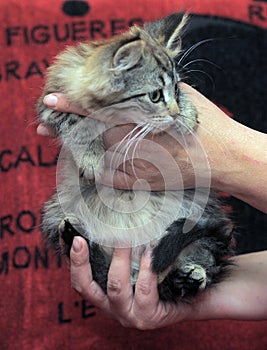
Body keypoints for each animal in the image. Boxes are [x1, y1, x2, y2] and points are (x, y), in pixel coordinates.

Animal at [38, 14, 234, 300]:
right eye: (155, 95)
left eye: (176, 90)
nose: (174, 112)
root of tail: (133, 270)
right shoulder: (51, 105)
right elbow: (76, 123)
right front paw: (90, 156)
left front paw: (187, 113)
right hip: (54, 211)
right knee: (95, 265)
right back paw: (76, 235)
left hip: (205, 213)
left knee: (202, 256)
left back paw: (188, 277)